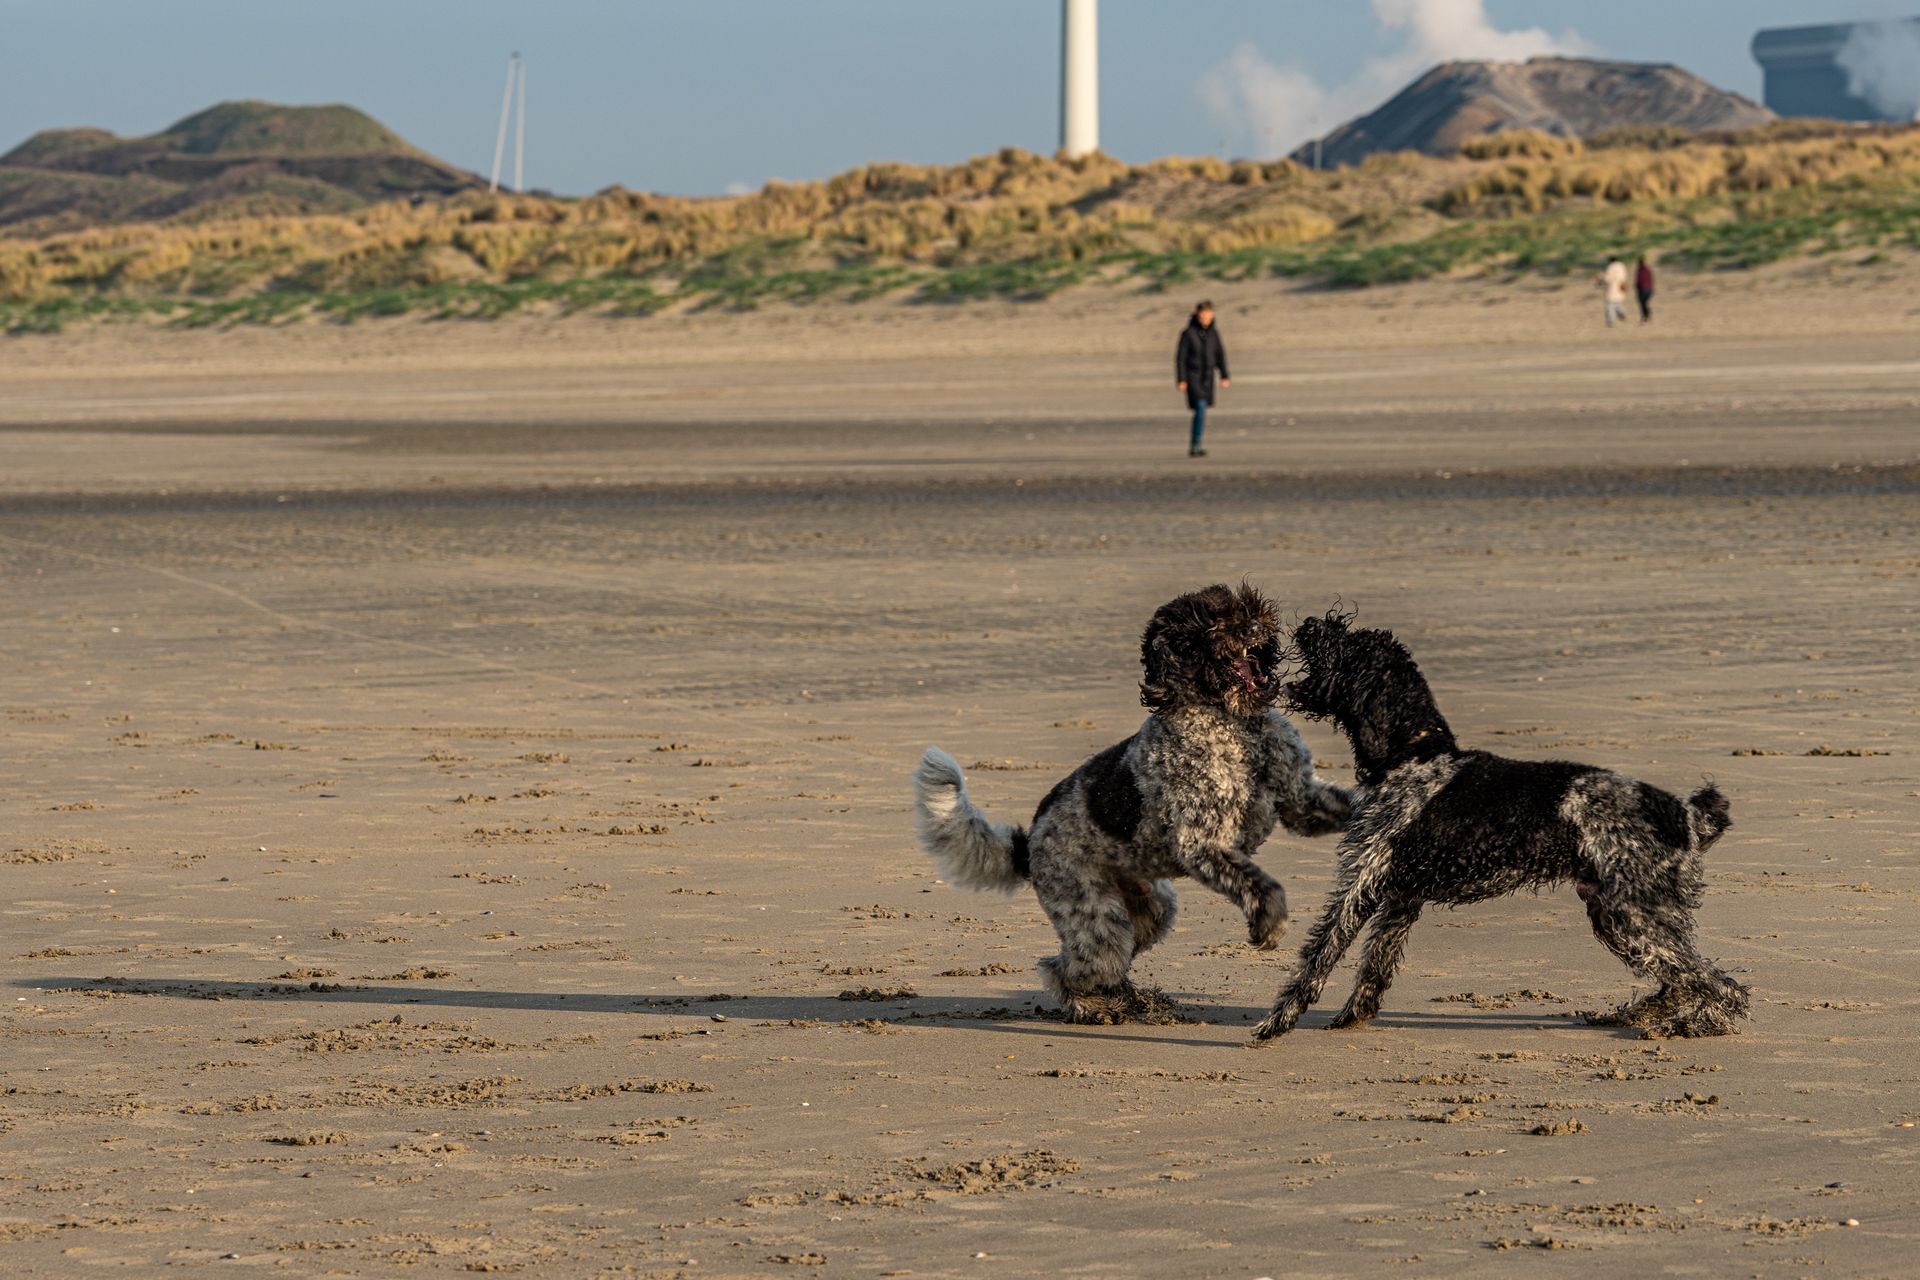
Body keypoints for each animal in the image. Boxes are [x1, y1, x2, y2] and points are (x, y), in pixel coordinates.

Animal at [913, 584, 1353, 1023]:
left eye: (1243, 603)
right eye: (1210, 624)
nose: (1256, 625)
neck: (1233, 722)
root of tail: (1027, 843)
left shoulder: (1301, 800)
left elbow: (1348, 805)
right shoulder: (1201, 845)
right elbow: (1261, 885)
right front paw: (1269, 923)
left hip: (1150, 910)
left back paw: (1124, 998)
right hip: (1096, 920)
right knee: (1062, 968)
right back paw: (1095, 1006)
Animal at [1251, 612, 1749, 1042]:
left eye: (1349, 644)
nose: (1312, 622)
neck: (1412, 754)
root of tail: (1685, 814)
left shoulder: (1362, 884)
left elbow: (1319, 957)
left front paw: (1278, 1021)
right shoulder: (1401, 898)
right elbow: (1375, 966)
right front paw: (1353, 1015)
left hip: (1636, 916)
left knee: (1722, 986)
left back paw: (1690, 1026)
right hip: (1619, 916)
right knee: (1687, 979)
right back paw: (1639, 1013)